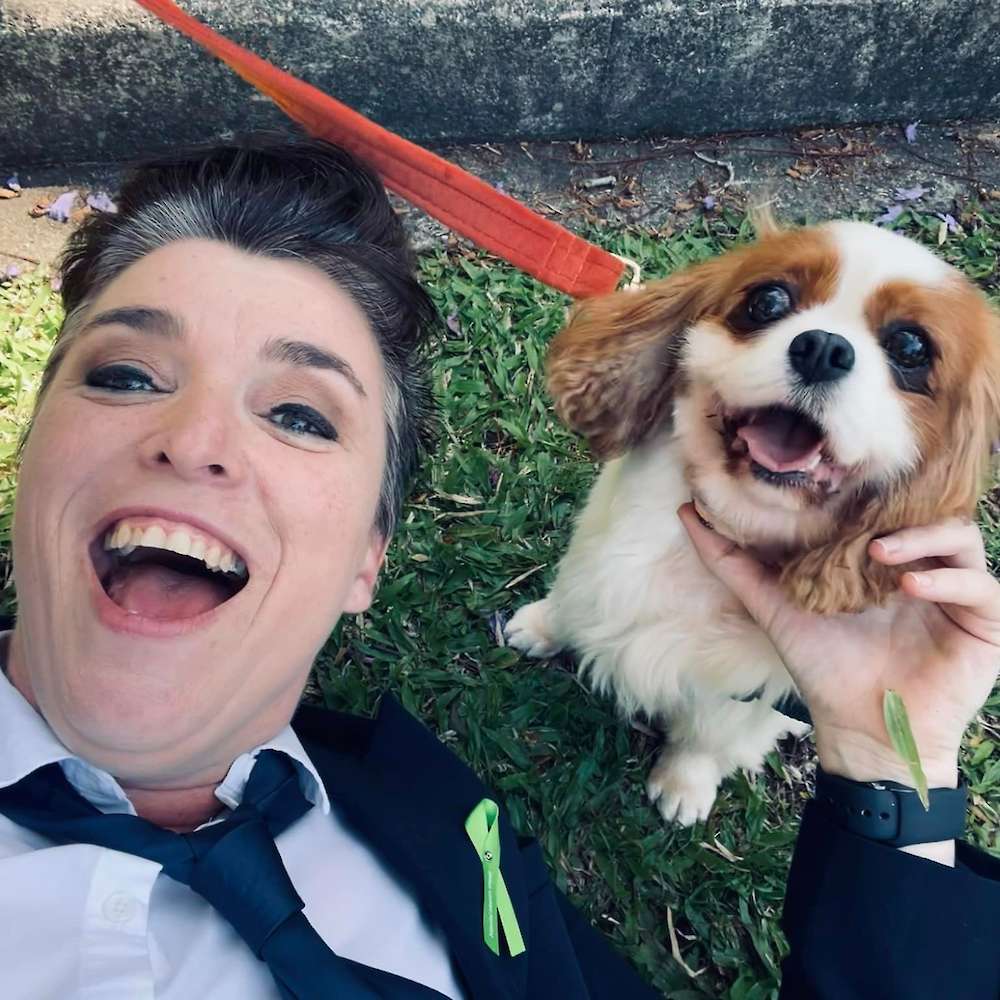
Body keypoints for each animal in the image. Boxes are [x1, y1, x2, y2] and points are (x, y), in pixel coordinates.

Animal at [506, 219, 1000, 825]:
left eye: (910, 348)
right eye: (768, 301)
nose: (822, 347)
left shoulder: (744, 693)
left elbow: (708, 738)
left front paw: (684, 783)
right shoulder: (595, 566)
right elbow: (572, 600)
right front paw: (542, 625)